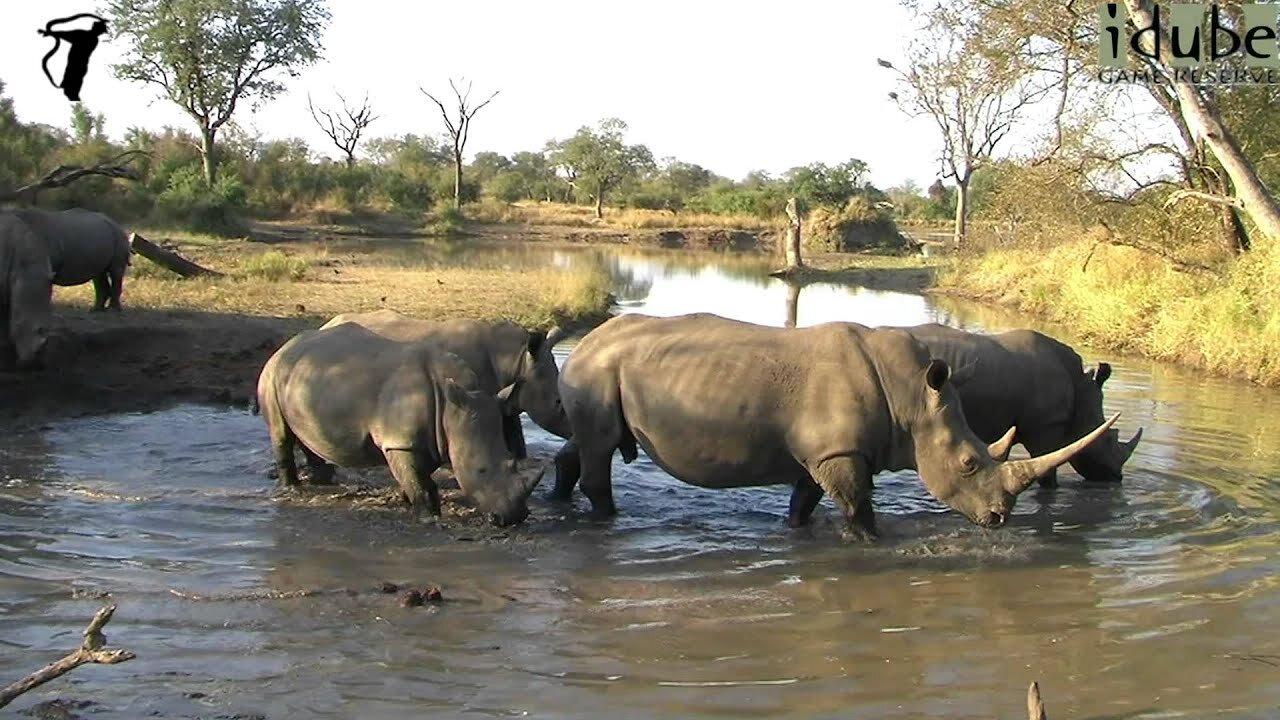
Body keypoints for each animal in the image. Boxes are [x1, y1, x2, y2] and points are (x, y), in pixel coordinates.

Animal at [254, 322, 545, 525]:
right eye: (481, 470)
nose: (514, 518)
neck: (452, 408)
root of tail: (286, 345)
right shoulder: (400, 441)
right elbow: (421, 483)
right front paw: (428, 518)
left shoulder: (426, 439)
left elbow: (418, 477)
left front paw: (407, 502)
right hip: (271, 374)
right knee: (281, 434)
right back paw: (293, 489)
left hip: (304, 378)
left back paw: (323, 481)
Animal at [320, 307, 576, 453]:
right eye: (558, 402)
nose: (574, 434)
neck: (516, 359)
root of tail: (326, 325)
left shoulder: (507, 397)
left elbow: (515, 440)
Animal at [550, 311, 1121, 535]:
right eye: (967, 463)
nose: (999, 520)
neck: (914, 397)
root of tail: (588, 339)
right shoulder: (839, 452)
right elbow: (858, 508)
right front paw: (873, 544)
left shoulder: (825, 450)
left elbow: (805, 501)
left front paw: (797, 531)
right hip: (597, 370)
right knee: (598, 448)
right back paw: (608, 520)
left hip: (601, 373)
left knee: (589, 441)